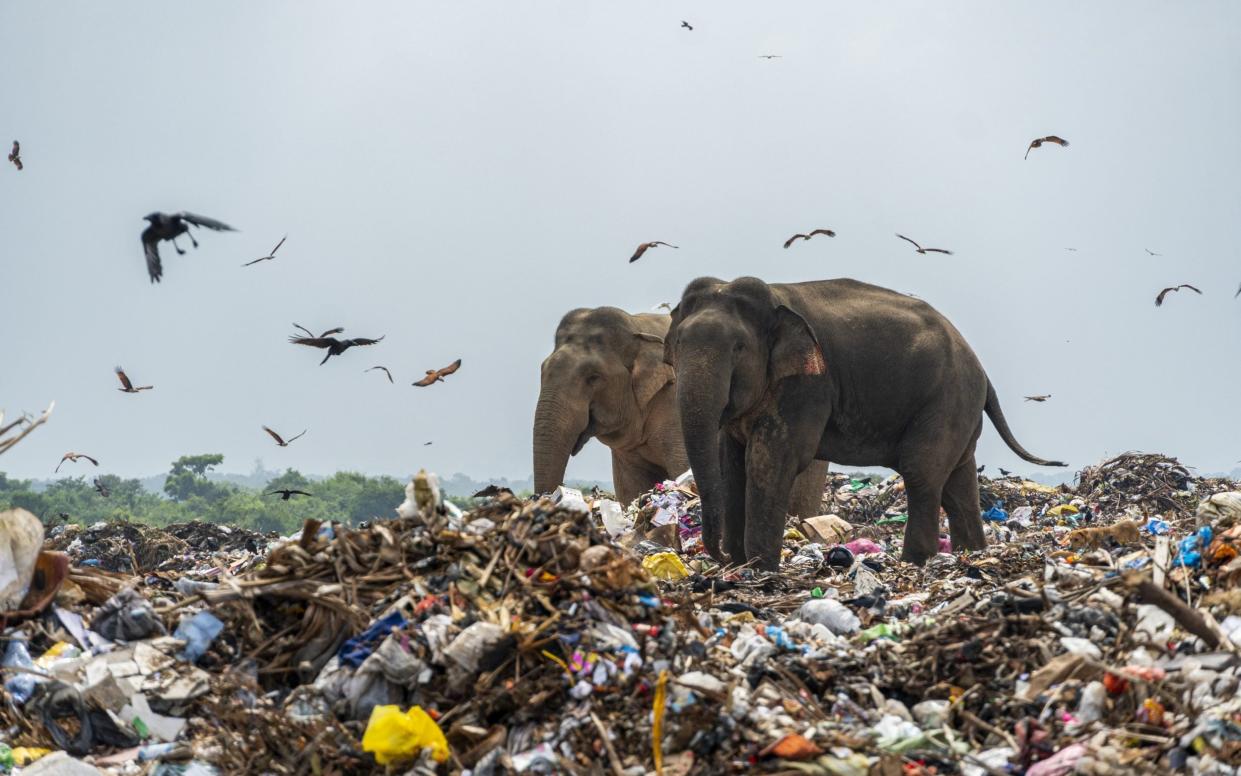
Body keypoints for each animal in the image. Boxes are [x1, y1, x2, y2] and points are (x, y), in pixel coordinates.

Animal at [531, 305, 828, 511]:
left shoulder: (677, 409)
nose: (545, 499)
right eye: (542, 370)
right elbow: (631, 488)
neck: (637, 325)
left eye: (593, 377)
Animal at [665, 276, 1062, 568]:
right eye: (679, 343)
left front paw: (758, 569)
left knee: (921, 472)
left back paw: (914, 561)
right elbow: (730, 462)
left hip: (946, 399)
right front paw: (739, 566)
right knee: (957, 480)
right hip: (958, 408)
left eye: (738, 348)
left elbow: (770, 459)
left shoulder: (808, 385)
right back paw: (971, 554)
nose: (719, 555)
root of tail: (981, 370)